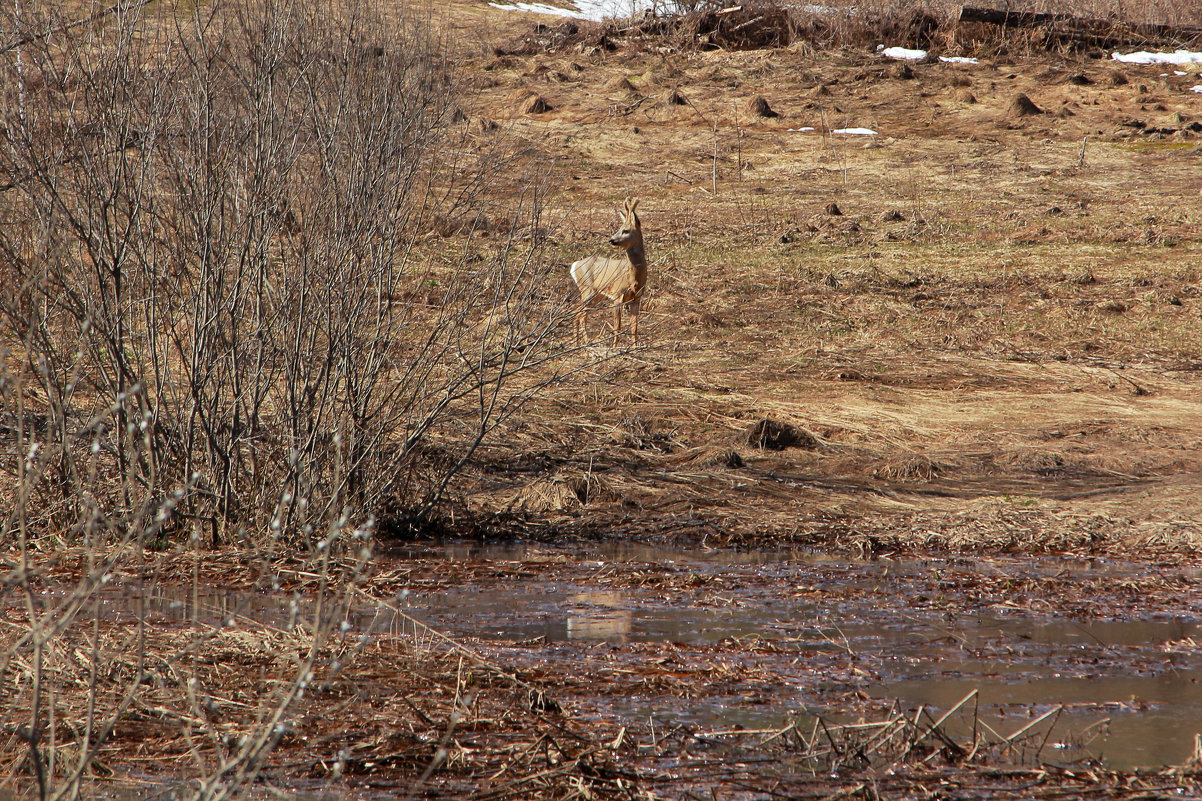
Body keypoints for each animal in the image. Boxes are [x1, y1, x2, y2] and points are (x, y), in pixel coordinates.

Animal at [569, 196, 649, 343]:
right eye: (618, 228)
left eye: (625, 230)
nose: (611, 240)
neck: (633, 277)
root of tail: (575, 265)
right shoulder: (617, 294)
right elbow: (617, 326)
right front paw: (614, 346)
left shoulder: (637, 297)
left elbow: (634, 327)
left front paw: (635, 346)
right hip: (587, 289)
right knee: (581, 314)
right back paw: (586, 341)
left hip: (596, 294)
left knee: (577, 313)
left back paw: (577, 342)